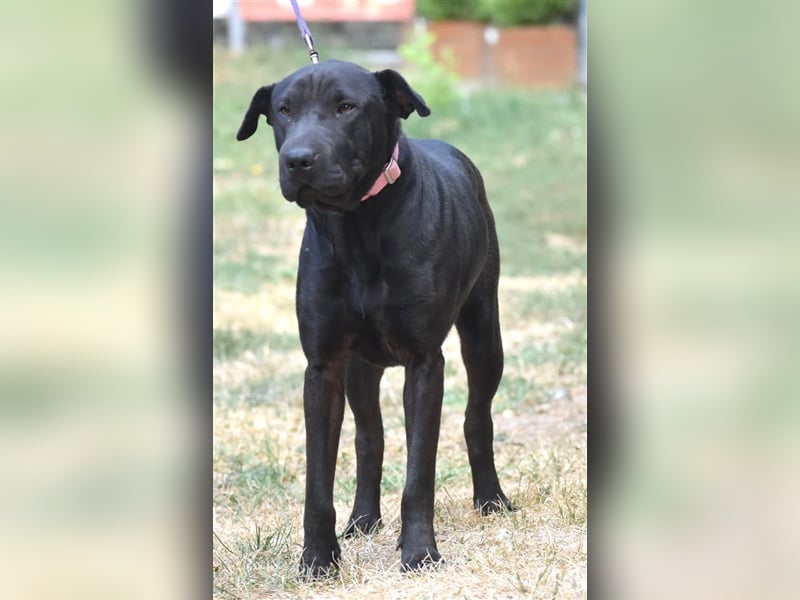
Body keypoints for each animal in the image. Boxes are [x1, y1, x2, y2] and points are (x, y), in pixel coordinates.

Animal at [234, 58, 516, 576]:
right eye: (283, 110)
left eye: (346, 107)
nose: (297, 160)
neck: (357, 226)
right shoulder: (323, 366)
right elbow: (319, 479)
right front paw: (317, 558)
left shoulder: (425, 362)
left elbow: (420, 473)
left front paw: (420, 552)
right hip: (360, 369)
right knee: (370, 438)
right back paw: (363, 519)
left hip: (484, 336)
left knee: (476, 416)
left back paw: (490, 499)